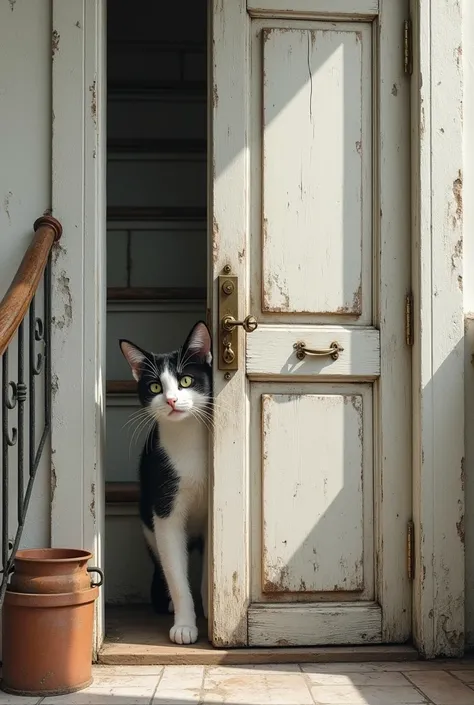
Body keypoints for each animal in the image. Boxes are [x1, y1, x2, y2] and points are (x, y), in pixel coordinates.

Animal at [119, 320, 212, 644]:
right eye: (155, 387)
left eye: (185, 380)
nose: (171, 400)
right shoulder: (164, 505)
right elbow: (176, 571)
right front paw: (184, 625)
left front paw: (208, 604)